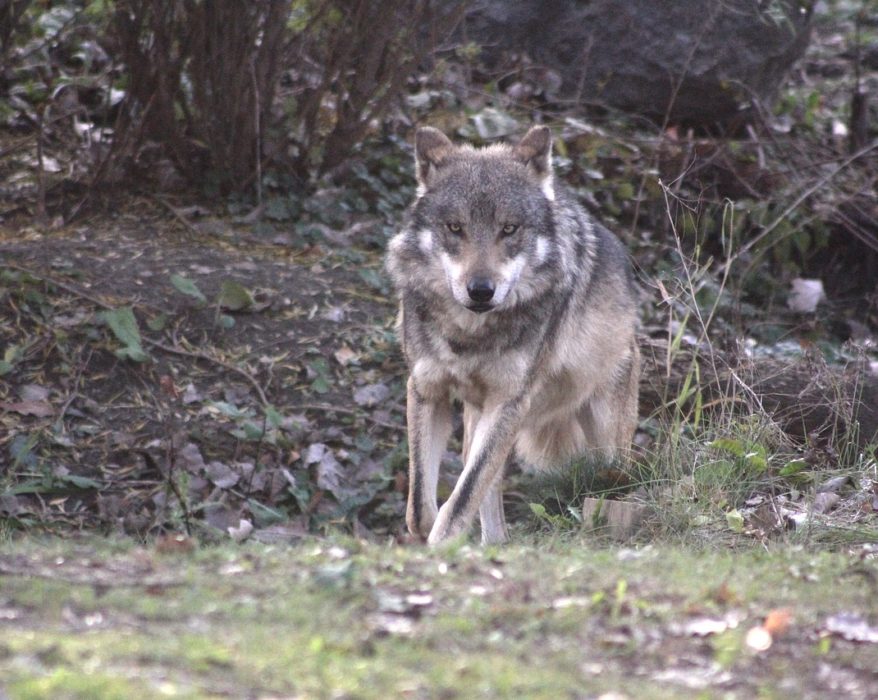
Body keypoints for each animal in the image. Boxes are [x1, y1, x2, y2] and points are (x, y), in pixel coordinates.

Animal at [386, 125, 640, 545]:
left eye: (509, 229)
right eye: (455, 227)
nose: (480, 290)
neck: (470, 334)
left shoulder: (509, 402)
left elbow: (462, 496)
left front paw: (442, 545)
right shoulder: (426, 389)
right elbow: (421, 506)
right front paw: (430, 539)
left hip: (605, 442)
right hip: (479, 419)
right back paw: (493, 544)